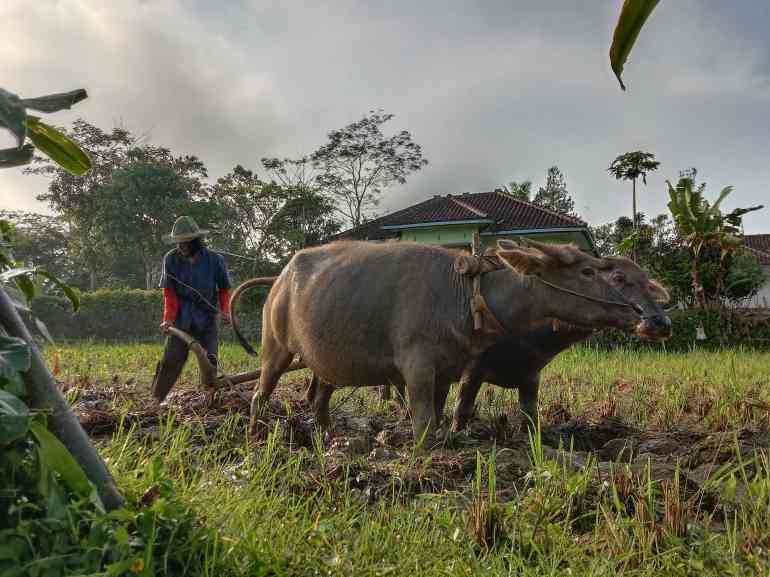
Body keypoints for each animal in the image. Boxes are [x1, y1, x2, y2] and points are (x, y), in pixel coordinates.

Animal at [232, 236, 648, 444]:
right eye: (589, 271)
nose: (645, 313)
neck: (467, 294)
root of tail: (281, 278)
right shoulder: (416, 367)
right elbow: (422, 418)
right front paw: (423, 456)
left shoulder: (449, 370)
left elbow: (444, 411)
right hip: (276, 349)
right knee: (260, 394)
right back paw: (254, 434)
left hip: (327, 360)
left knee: (319, 399)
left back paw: (327, 436)